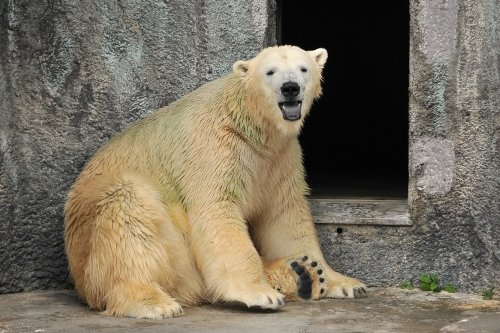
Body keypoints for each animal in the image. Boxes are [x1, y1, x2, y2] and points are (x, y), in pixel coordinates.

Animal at [64, 44, 366, 316]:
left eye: (303, 68)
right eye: (270, 72)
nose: (290, 87)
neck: (252, 126)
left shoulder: (280, 158)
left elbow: (285, 215)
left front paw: (342, 281)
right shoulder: (215, 149)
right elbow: (218, 211)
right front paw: (259, 294)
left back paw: (303, 274)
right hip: (121, 239)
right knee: (128, 211)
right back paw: (153, 302)